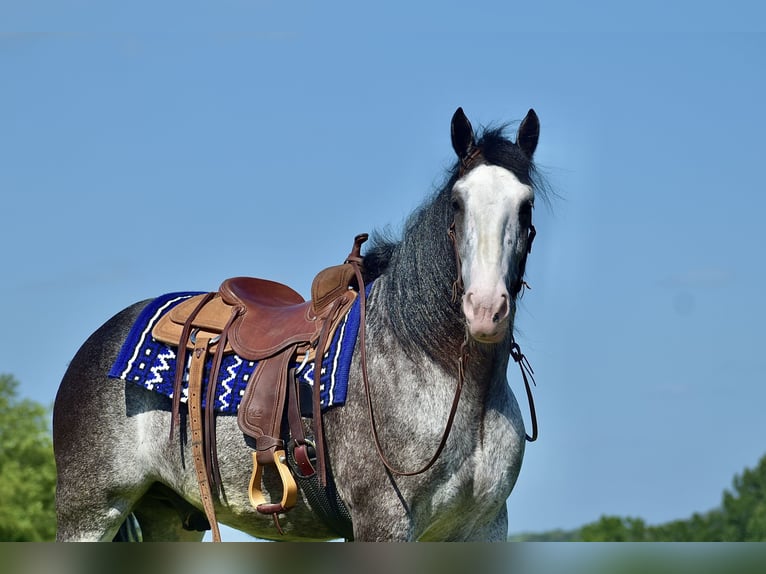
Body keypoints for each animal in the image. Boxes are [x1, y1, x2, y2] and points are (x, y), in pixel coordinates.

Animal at [52, 108, 544, 544]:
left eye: (526, 206)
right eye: (458, 203)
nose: (485, 308)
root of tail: (98, 342)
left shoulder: (483, 528)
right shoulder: (383, 520)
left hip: (168, 515)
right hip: (89, 513)